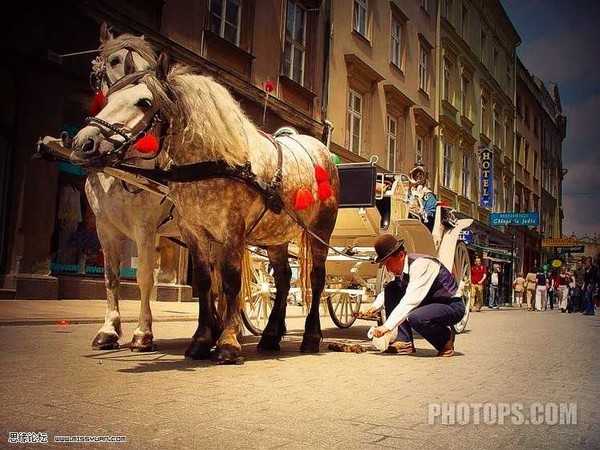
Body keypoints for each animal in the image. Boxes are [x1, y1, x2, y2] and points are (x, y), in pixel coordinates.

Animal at [70, 54, 340, 364]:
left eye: (145, 102)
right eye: (108, 97)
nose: (83, 142)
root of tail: (319, 149)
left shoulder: (220, 231)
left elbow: (228, 282)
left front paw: (227, 342)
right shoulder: (187, 231)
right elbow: (201, 282)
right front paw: (201, 340)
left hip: (320, 232)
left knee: (316, 280)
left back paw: (311, 336)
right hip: (275, 236)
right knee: (283, 280)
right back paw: (271, 335)